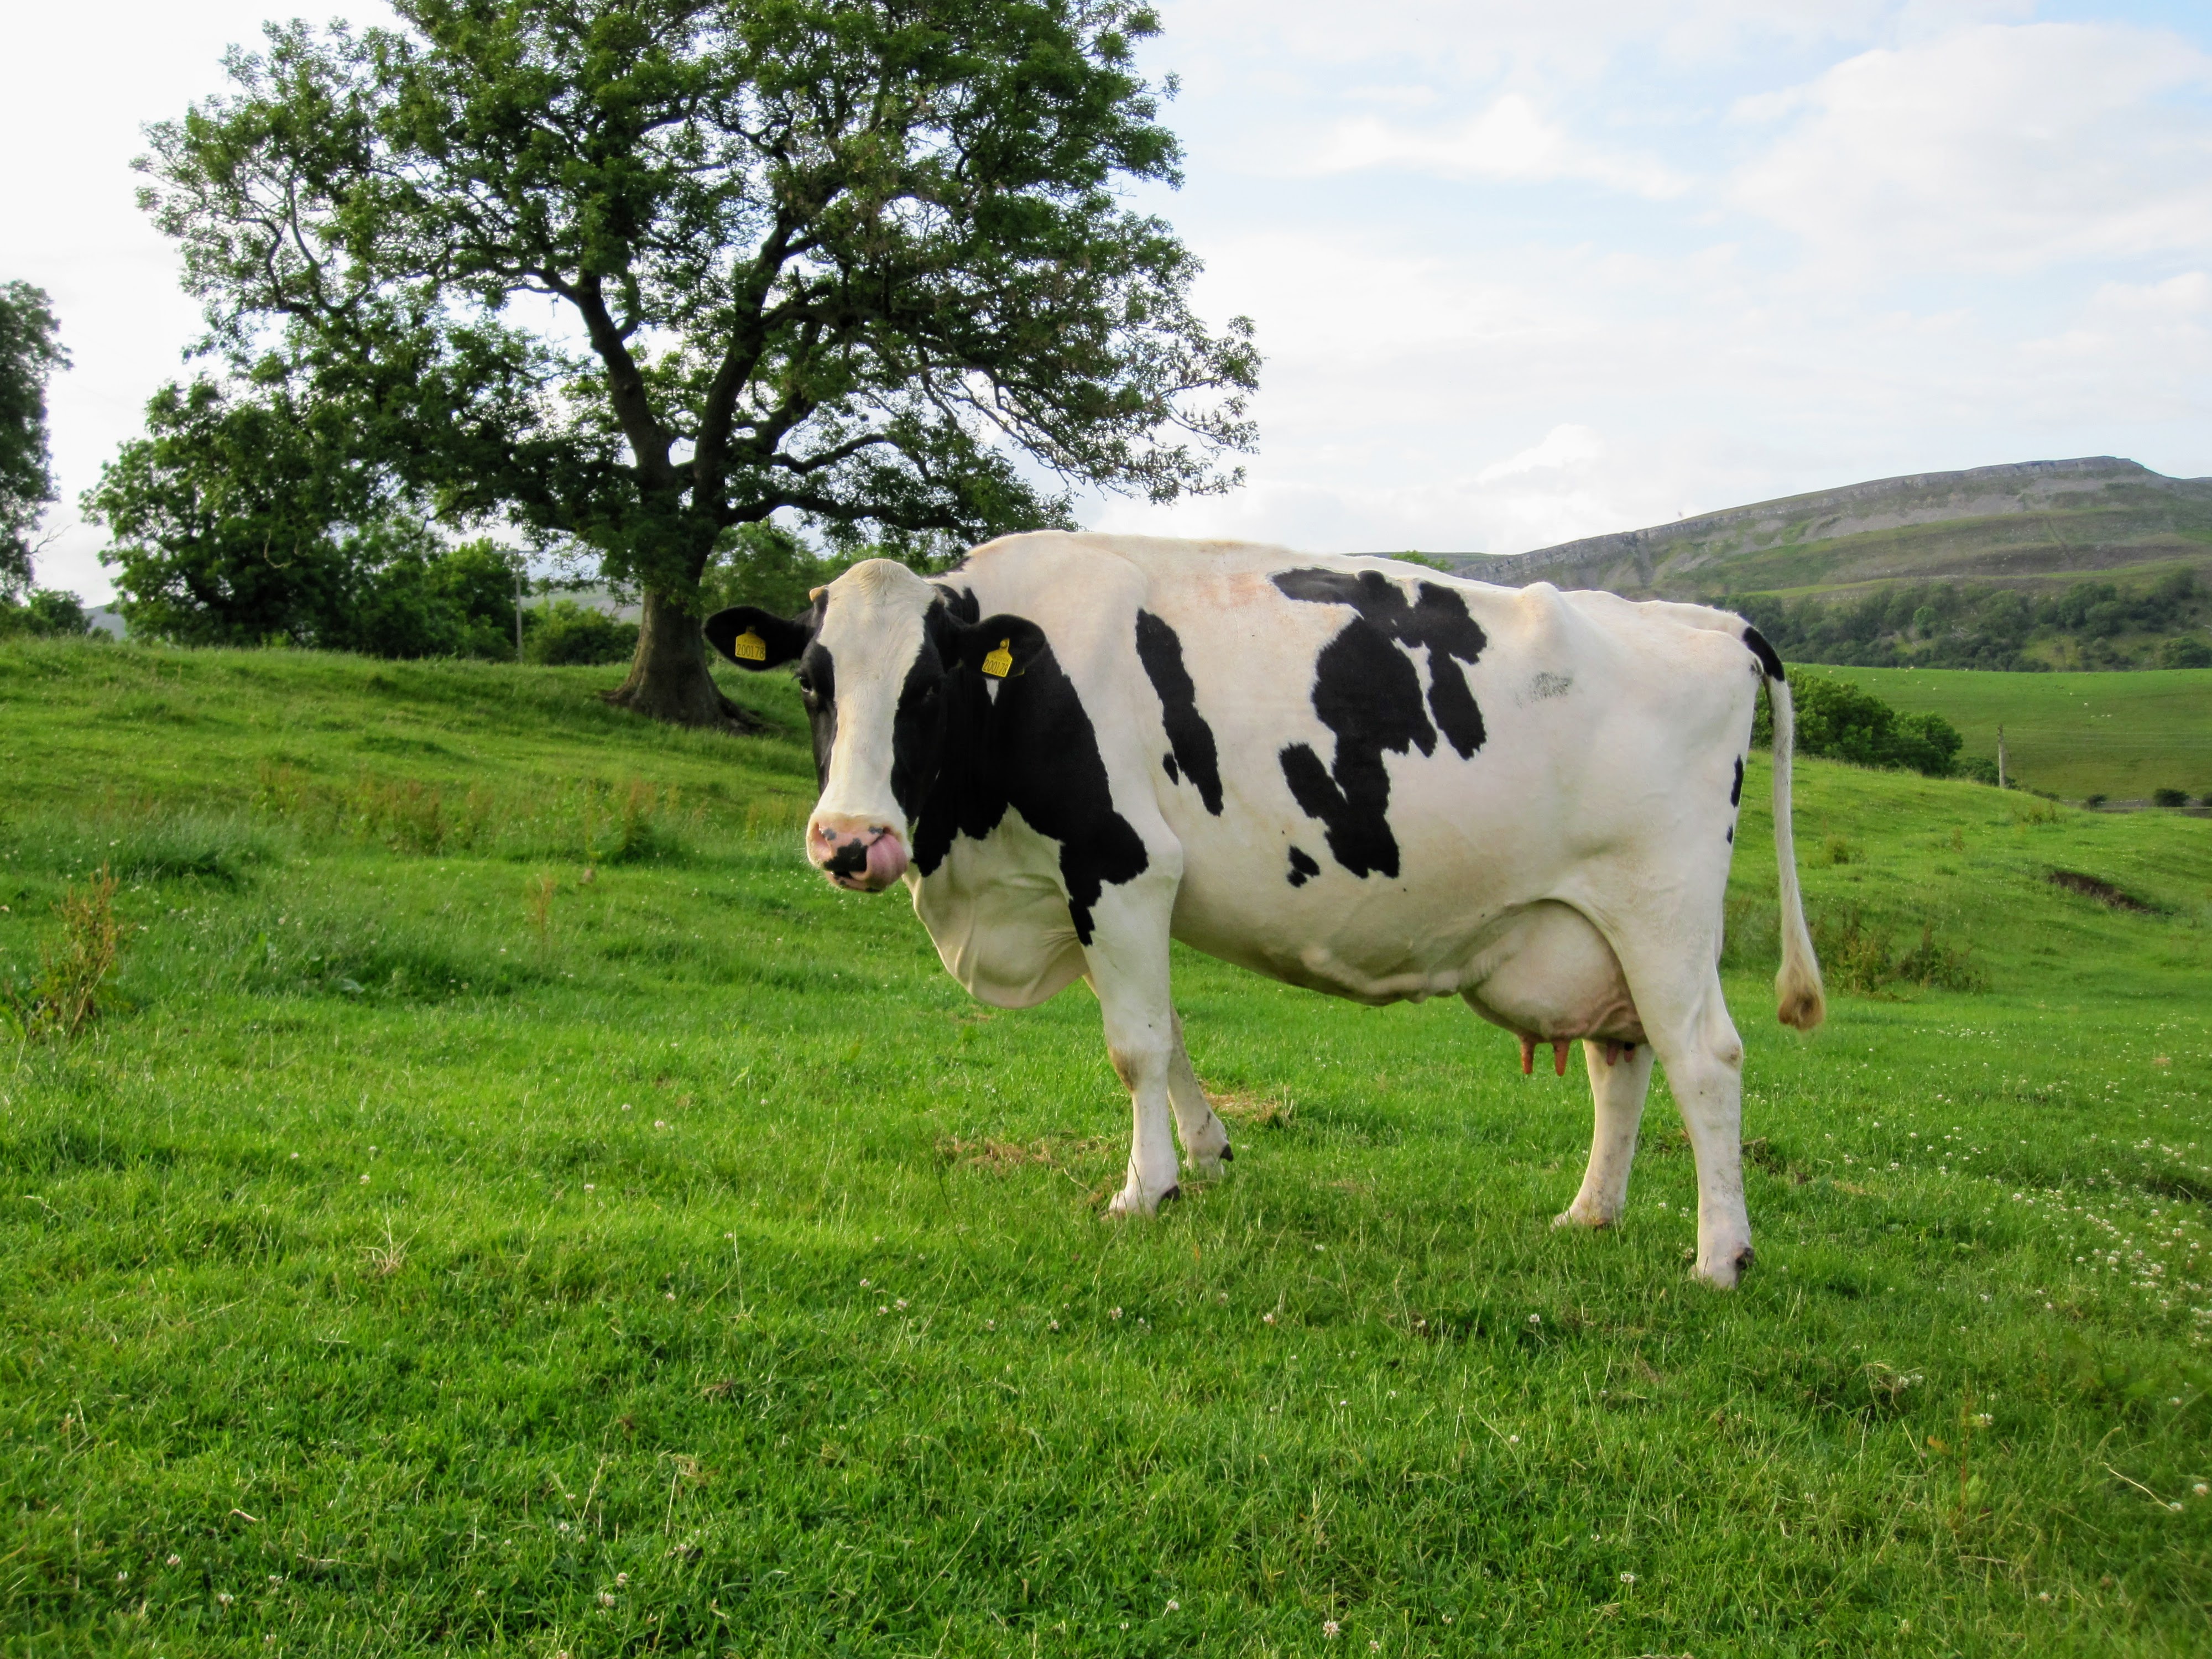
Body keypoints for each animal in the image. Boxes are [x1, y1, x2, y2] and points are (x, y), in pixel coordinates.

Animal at [706, 533, 1824, 1287]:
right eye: (812, 684)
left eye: (930, 688)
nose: (851, 841)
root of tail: (1707, 620)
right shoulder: (1103, 891)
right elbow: (1169, 1034)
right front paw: (1207, 1154)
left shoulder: (1122, 863)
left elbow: (1134, 1048)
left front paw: (1142, 1191)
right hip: (1594, 926)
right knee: (1621, 1061)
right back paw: (1590, 1216)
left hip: (1664, 909)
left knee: (1704, 1058)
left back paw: (1720, 1255)